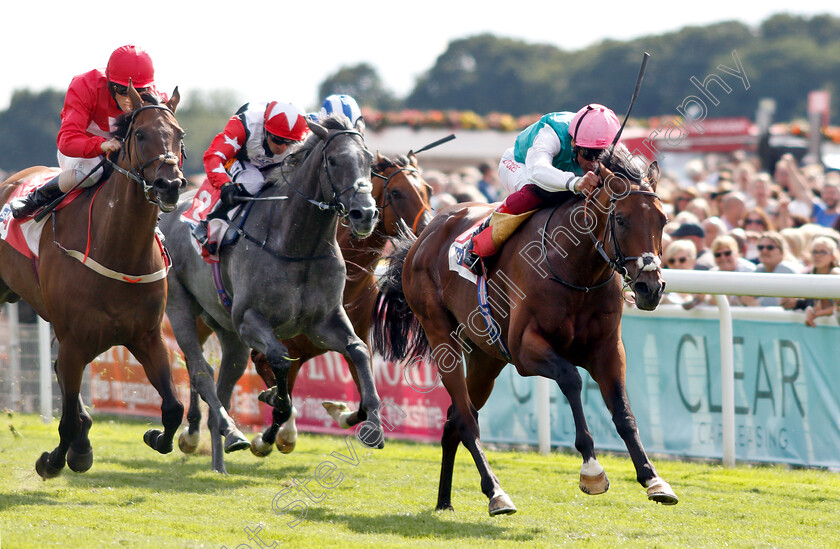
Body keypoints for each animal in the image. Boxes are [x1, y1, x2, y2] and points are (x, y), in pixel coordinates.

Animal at [0, 85, 185, 476]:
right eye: (140, 134)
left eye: (179, 135)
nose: (170, 185)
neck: (117, 247)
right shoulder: (74, 341)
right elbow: (67, 420)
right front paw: (53, 460)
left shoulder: (148, 336)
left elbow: (174, 408)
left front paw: (154, 436)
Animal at [159, 114, 382, 470]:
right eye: (334, 160)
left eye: (370, 162)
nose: (365, 214)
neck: (297, 245)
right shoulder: (250, 319)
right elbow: (279, 359)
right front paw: (272, 417)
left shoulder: (323, 322)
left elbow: (358, 350)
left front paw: (370, 421)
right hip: (183, 308)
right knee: (200, 370)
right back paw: (226, 432)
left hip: (227, 331)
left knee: (223, 380)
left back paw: (220, 459)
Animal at [370, 144, 680, 512]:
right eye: (620, 219)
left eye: (663, 220)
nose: (651, 288)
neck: (576, 270)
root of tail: (424, 236)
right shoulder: (525, 350)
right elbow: (571, 379)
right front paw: (591, 469)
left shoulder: (608, 350)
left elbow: (623, 411)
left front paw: (653, 479)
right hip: (441, 335)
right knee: (466, 419)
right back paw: (496, 492)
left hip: (486, 358)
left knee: (452, 420)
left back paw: (445, 500)